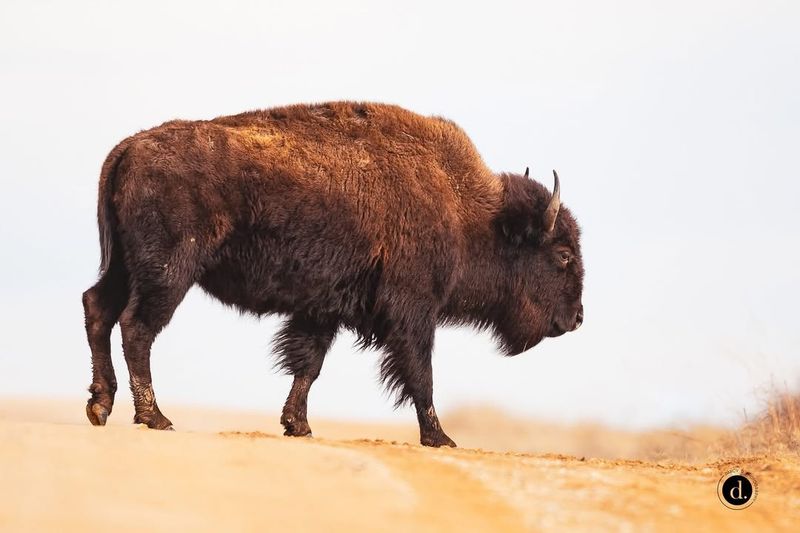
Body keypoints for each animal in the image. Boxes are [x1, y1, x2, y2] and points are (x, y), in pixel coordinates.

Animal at [84, 102, 584, 446]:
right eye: (562, 255)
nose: (577, 318)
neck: (466, 211)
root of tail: (129, 147)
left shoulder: (321, 310)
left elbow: (308, 364)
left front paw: (298, 425)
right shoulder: (412, 312)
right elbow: (420, 374)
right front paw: (440, 438)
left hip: (125, 267)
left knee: (98, 310)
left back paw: (100, 406)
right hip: (168, 273)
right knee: (137, 327)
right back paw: (155, 417)